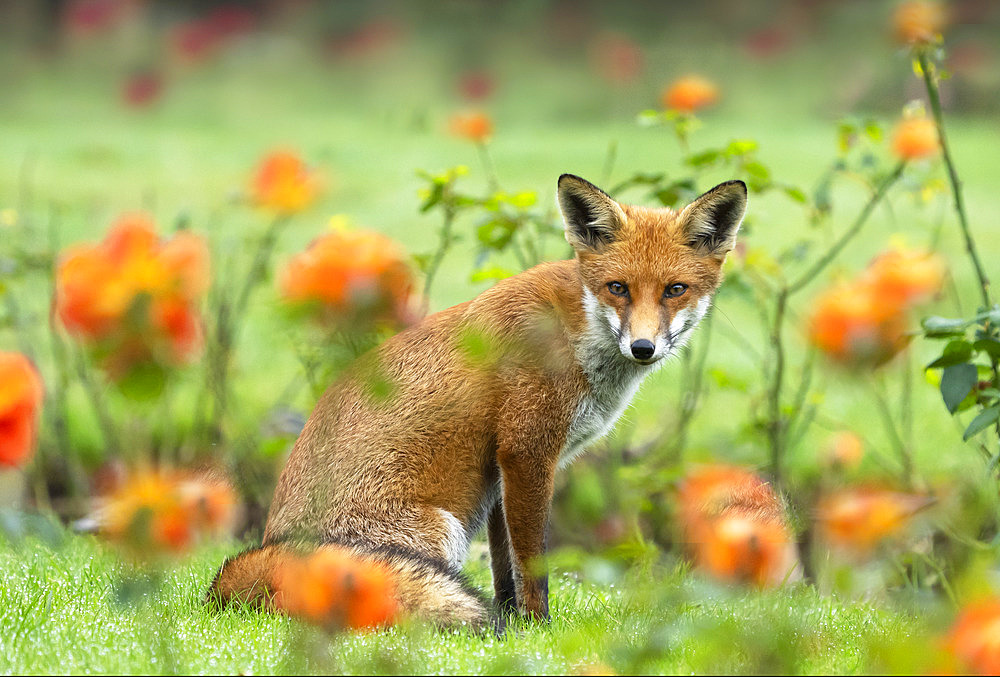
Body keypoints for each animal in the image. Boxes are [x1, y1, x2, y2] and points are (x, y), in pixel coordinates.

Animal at [207, 173, 748, 624]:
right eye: (618, 288)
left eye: (675, 290)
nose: (642, 347)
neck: (573, 334)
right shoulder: (527, 452)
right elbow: (533, 562)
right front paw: (538, 628)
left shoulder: (499, 471)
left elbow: (505, 566)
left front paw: (512, 624)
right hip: (439, 529)